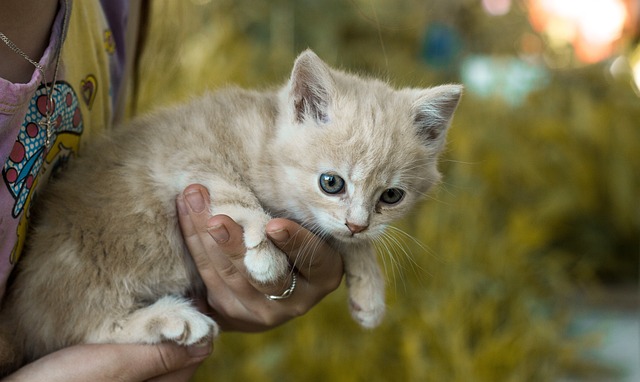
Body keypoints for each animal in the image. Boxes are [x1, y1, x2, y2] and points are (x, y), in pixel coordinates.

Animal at [0, 50, 460, 374]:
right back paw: (172, 319)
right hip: (84, 268)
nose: (357, 222)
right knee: (84, 326)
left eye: (392, 196)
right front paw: (265, 255)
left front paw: (369, 288)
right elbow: (236, 195)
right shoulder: (190, 153)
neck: (264, 140)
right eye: (332, 183)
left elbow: (344, 238)